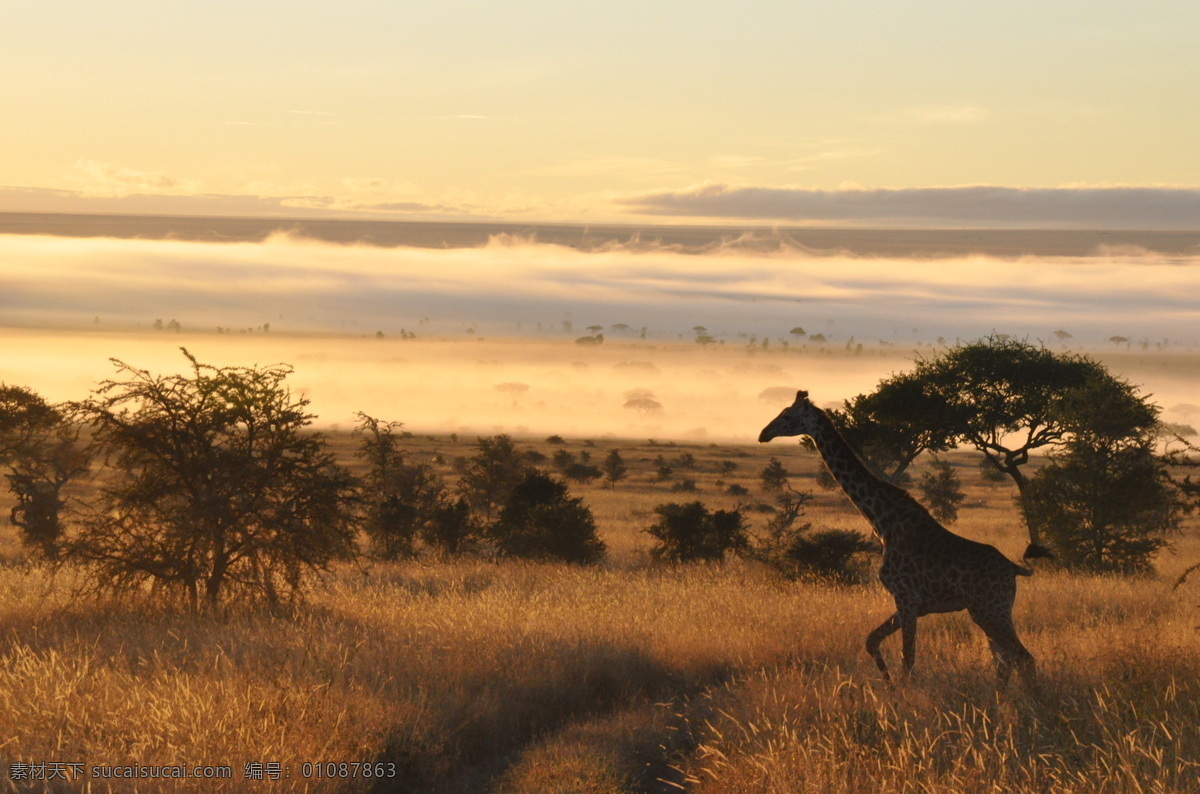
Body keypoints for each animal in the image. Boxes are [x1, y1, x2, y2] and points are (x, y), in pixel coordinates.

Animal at [758, 391, 1041, 690]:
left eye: (787, 415)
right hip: (995, 610)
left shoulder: (906, 598)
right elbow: (872, 641)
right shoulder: (913, 604)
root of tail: (1014, 568)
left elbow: (908, 660)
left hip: (988, 609)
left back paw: (1033, 699)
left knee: (1022, 658)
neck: (882, 520)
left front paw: (902, 692)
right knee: (1005, 661)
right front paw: (890, 685)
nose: (764, 433)